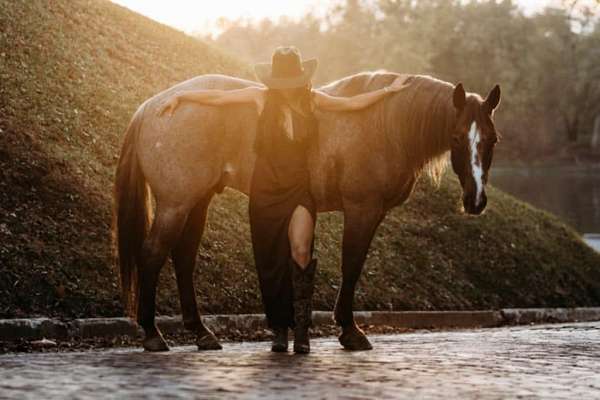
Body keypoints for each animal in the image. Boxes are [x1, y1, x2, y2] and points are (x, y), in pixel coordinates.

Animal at [113, 71, 502, 350]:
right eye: (456, 137)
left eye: (492, 139)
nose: (476, 201)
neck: (385, 125)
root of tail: (152, 106)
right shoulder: (362, 209)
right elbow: (352, 265)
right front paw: (350, 330)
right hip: (175, 204)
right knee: (153, 254)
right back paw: (153, 334)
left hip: (197, 200)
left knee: (183, 258)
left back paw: (201, 333)